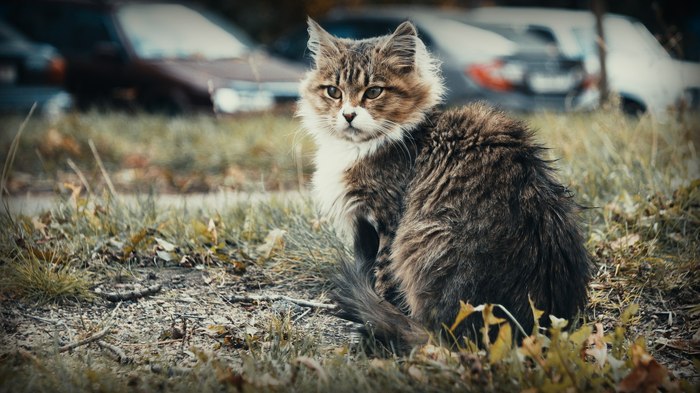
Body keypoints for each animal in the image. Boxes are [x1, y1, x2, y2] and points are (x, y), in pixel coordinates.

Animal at [296, 17, 592, 350]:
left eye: (373, 92)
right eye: (333, 91)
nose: (347, 115)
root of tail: (527, 328)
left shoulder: (387, 222)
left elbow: (383, 281)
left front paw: (375, 323)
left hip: (420, 240)